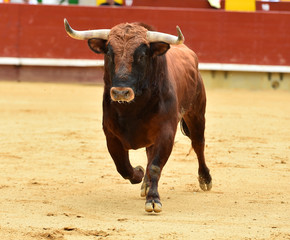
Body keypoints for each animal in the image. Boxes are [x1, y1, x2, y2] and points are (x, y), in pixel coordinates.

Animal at [64, 19, 212, 213]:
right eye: (109, 53)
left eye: (141, 56)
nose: (121, 92)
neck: (133, 109)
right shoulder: (111, 135)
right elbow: (123, 166)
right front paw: (140, 174)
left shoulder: (166, 132)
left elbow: (155, 166)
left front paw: (153, 199)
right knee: (149, 154)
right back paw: (146, 184)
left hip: (196, 113)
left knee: (198, 143)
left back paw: (205, 179)